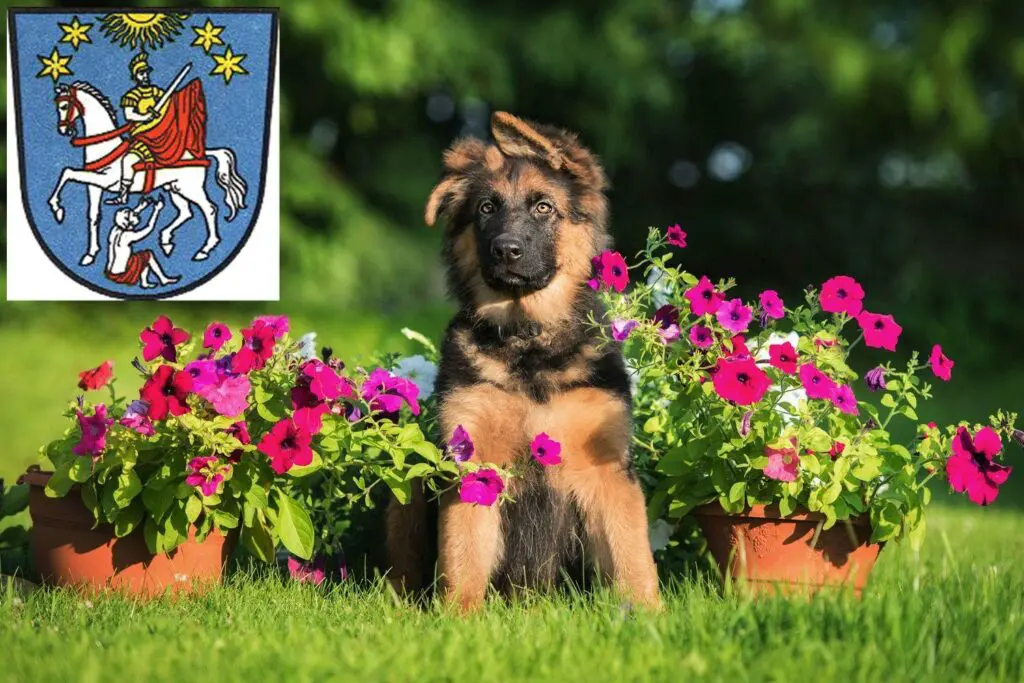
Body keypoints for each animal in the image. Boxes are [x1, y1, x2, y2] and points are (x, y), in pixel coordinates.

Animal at [48, 82, 247, 266]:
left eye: (64, 106)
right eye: (57, 106)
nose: (64, 130)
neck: (105, 147)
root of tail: (200, 153)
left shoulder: (105, 180)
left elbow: (68, 172)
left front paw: (57, 209)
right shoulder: (94, 185)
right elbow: (93, 215)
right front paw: (90, 254)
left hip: (191, 188)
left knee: (209, 209)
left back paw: (205, 249)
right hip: (175, 188)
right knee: (186, 212)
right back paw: (166, 240)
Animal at [387, 112, 659, 614]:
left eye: (544, 208)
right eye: (486, 209)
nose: (506, 250)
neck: (529, 341)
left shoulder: (608, 471)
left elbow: (633, 559)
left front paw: (650, 616)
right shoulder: (475, 463)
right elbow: (463, 558)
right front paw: (457, 619)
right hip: (409, 484)